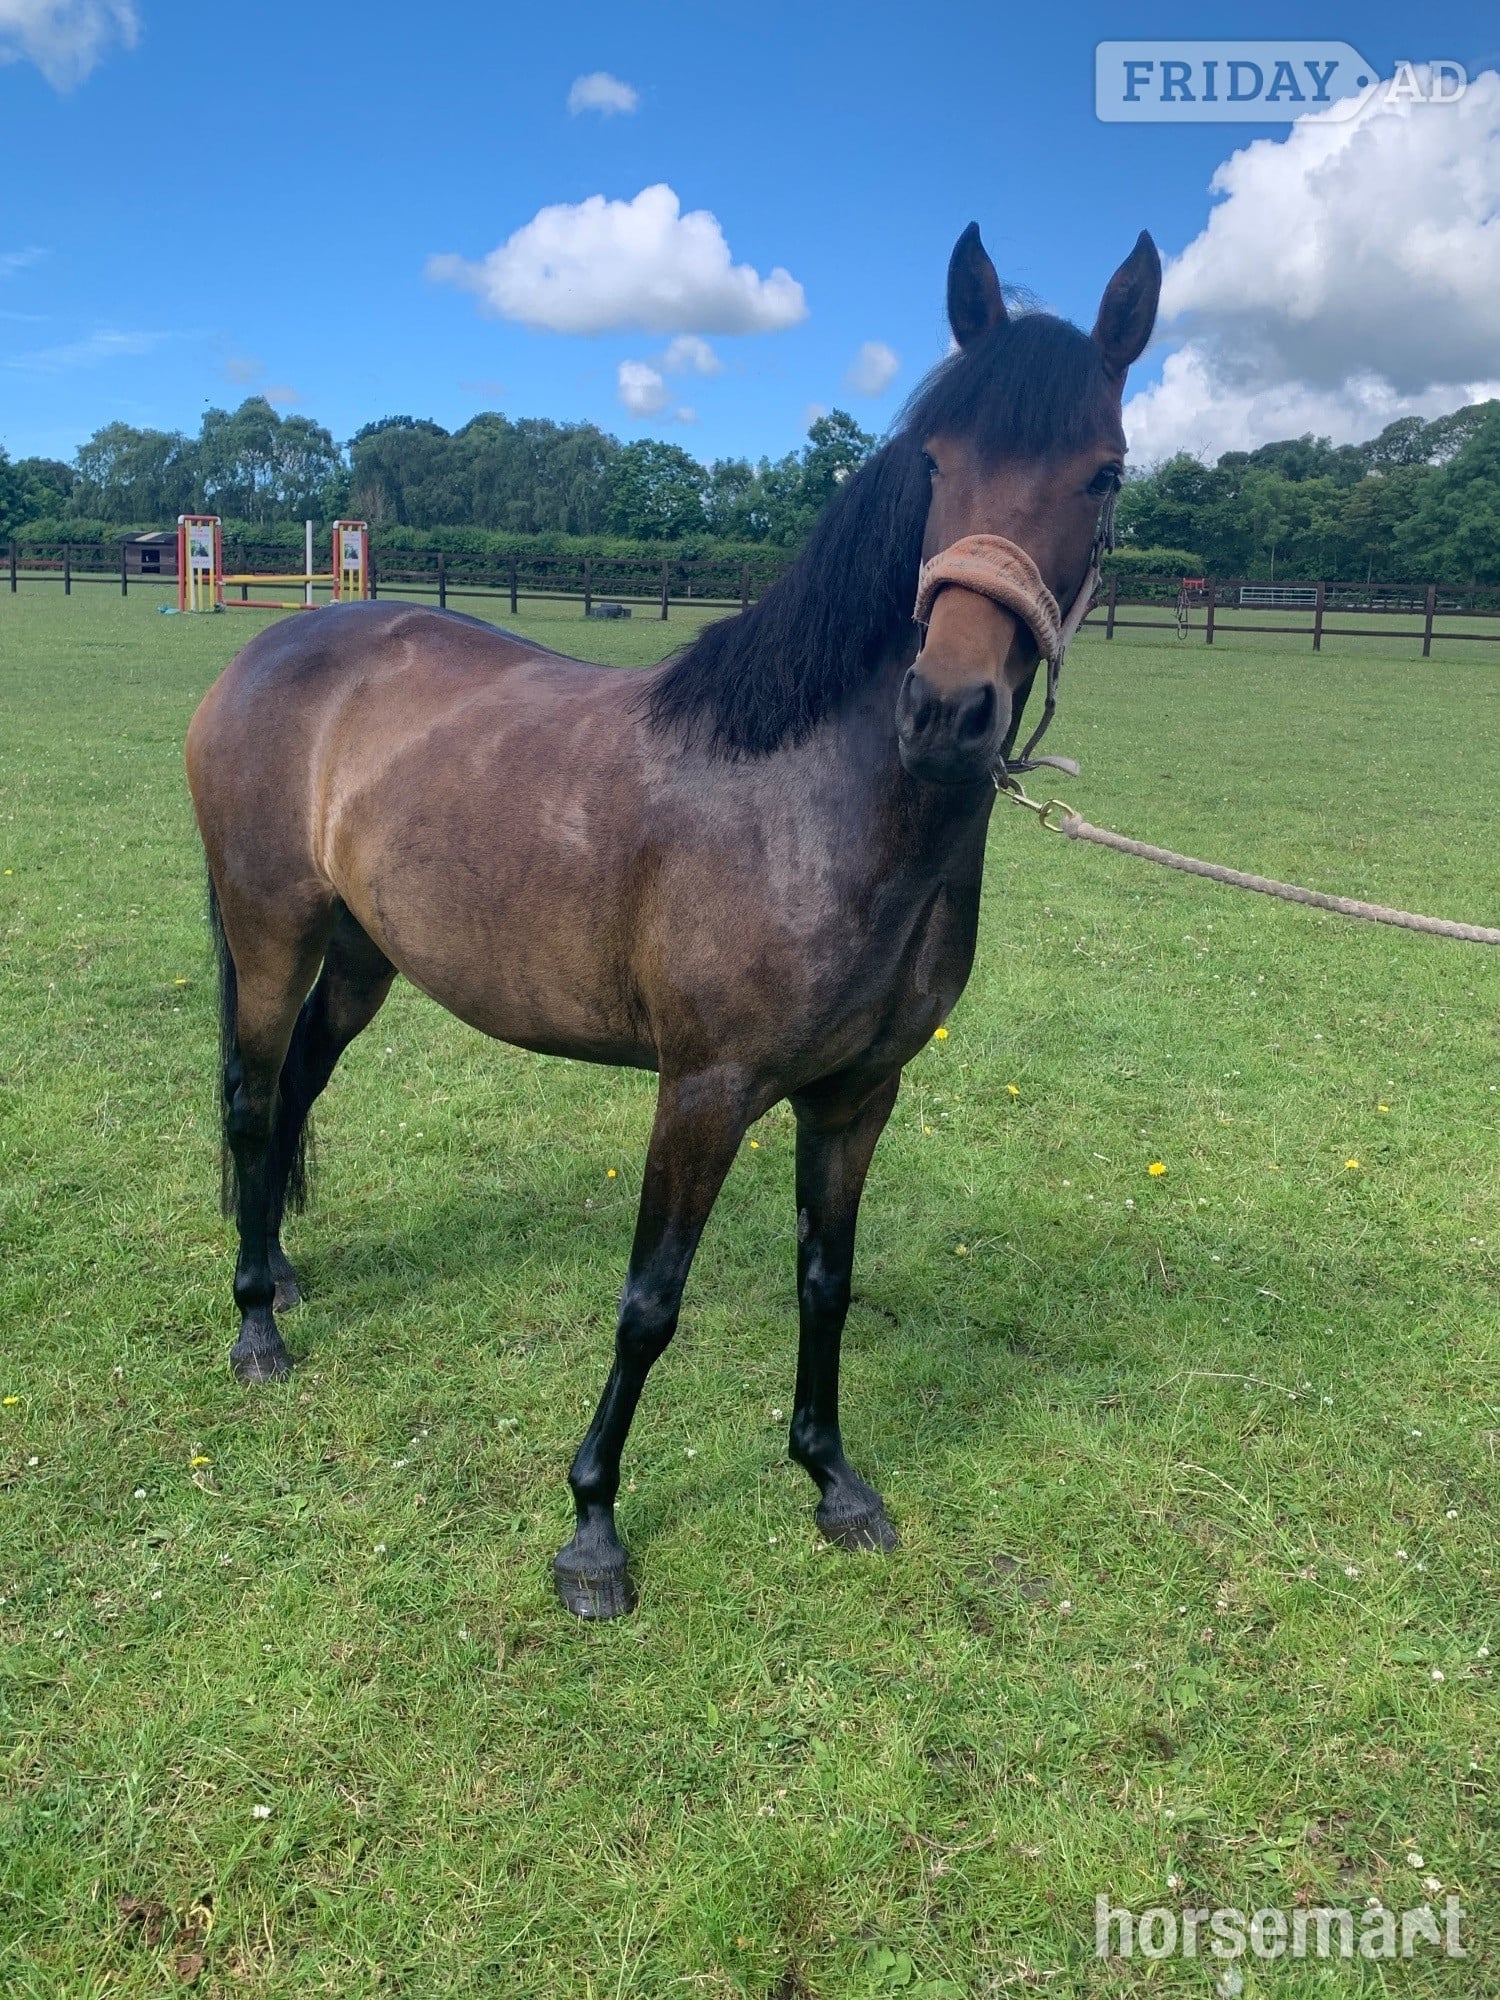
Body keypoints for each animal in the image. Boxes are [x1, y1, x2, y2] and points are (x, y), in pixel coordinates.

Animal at [186, 223, 1161, 1619]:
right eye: (934, 460)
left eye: (1103, 473)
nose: (946, 709)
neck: (814, 796)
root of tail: (268, 651)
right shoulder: (704, 1088)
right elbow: (651, 1301)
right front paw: (592, 1529)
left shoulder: (856, 1096)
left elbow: (828, 1280)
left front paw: (832, 1478)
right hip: (272, 930)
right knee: (254, 1098)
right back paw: (257, 1323)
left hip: (365, 956)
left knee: (301, 1086)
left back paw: (283, 1268)